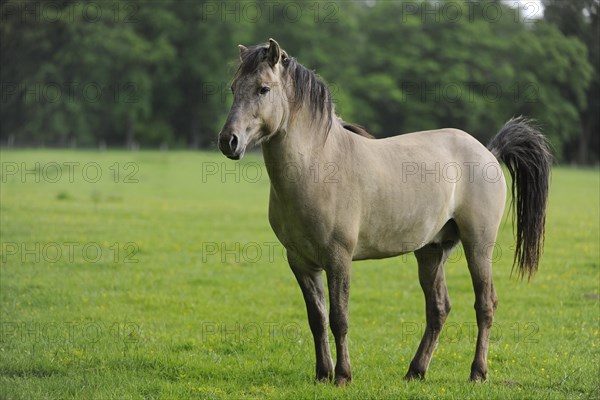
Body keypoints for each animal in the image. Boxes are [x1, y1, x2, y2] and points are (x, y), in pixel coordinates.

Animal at [218, 39, 552, 384]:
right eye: (233, 88)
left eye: (263, 89)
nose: (229, 141)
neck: (317, 166)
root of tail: (488, 151)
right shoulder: (300, 263)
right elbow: (317, 319)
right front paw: (322, 374)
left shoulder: (338, 259)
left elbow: (339, 318)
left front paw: (343, 376)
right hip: (431, 251)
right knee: (438, 308)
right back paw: (416, 370)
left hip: (478, 246)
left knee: (485, 304)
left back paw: (477, 372)